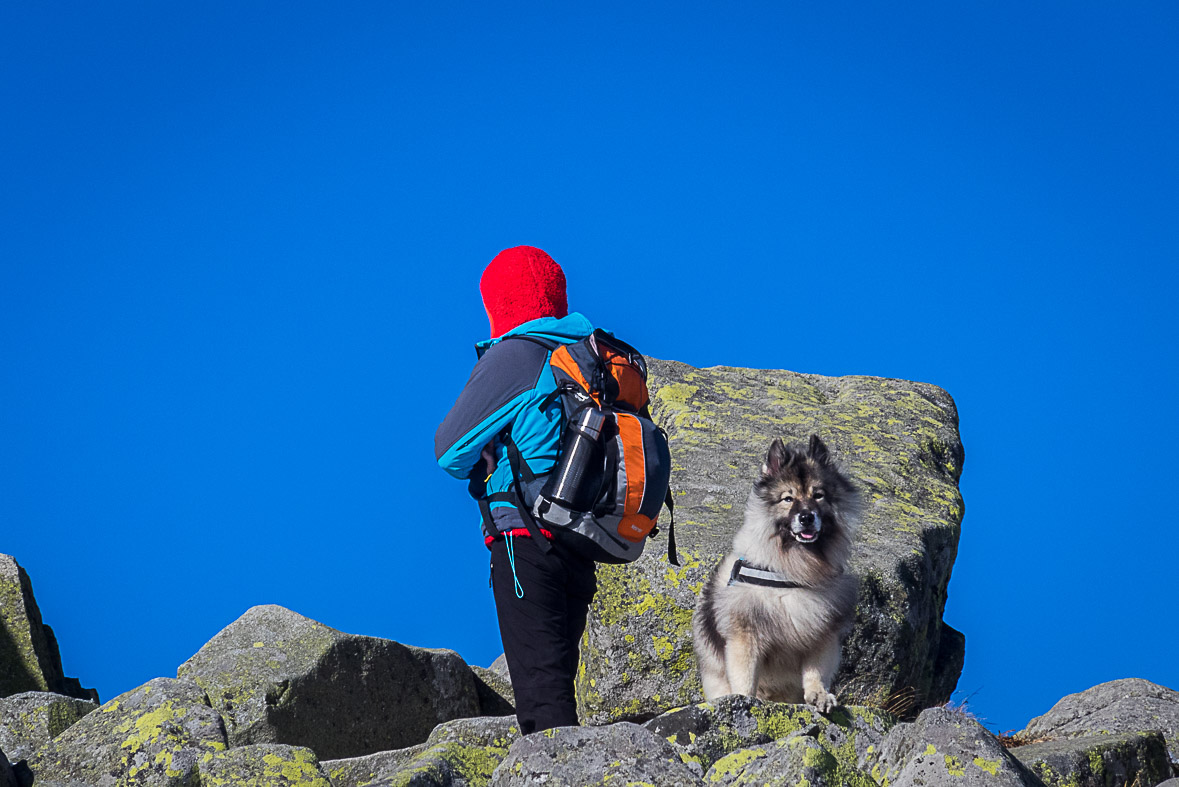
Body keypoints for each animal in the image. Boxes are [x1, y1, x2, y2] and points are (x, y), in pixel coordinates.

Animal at [688, 435, 858, 711]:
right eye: (787, 498)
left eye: (818, 496)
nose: (807, 517)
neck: (794, 569)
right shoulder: (745, 635)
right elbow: (745, 677)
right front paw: (744, 700)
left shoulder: (821, 635)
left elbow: (815, 672)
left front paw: (819, 695)